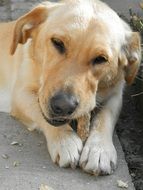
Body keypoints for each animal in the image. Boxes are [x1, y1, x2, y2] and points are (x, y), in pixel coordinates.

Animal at [0, 0, 141, 175]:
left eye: (101, 59)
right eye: (57, 43)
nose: (63, 106)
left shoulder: (116, 95)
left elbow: (105, 117)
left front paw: (99, 150)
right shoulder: (20, 94)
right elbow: (40, 113)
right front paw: (65, 141)